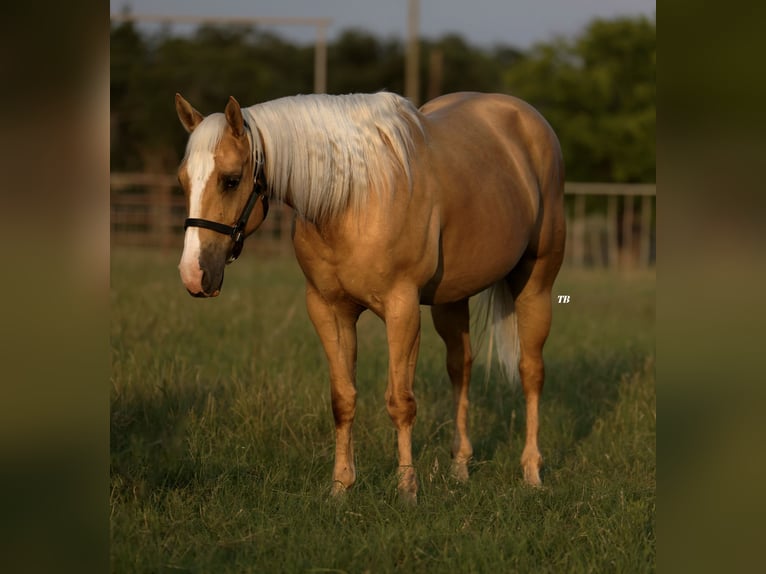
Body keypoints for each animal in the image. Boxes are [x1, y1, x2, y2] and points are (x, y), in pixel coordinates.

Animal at [177, 91, 568, 504]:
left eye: (231, 180)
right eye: (183, 180)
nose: (193, 274)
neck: (351, 198)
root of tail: (525, 116)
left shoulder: (401, 308)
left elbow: (400, 401)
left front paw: (407, 489)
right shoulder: (329, 311)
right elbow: (342, 399)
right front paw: (340, 487)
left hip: (536, 285)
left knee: (531, 371)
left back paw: (531, 471)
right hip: (451, 300)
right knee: (461, 368)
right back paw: (460, 467)